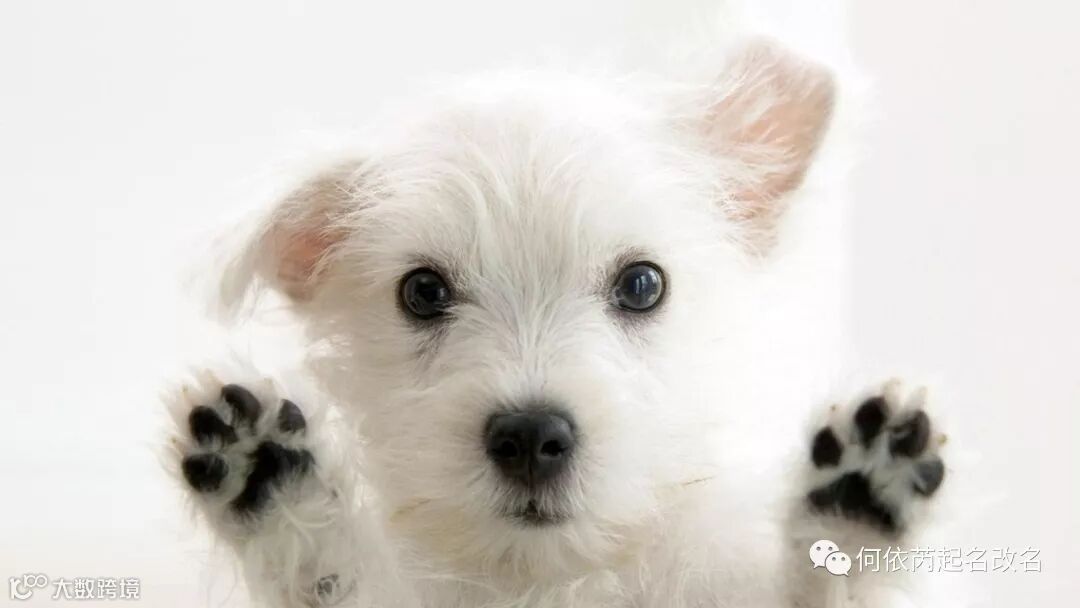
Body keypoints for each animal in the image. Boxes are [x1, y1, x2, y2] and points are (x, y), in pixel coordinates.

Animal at [164, 34, 954, 608]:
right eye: (422, 292)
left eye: (642, 285)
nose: (529, 437)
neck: (547, 578)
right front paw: (277, 484)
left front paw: (856, 509)